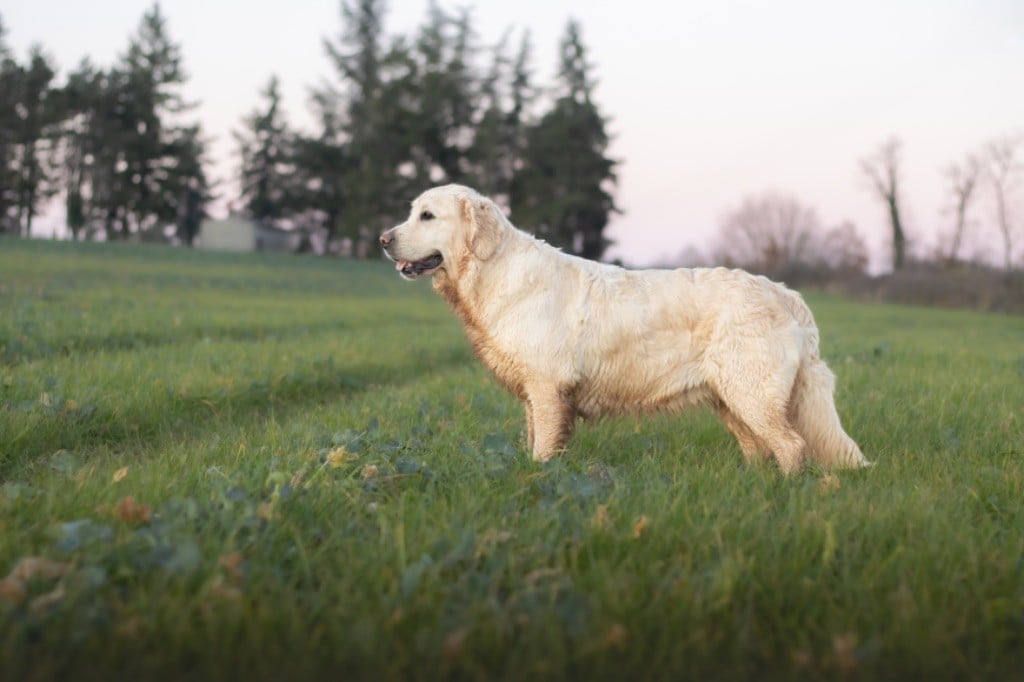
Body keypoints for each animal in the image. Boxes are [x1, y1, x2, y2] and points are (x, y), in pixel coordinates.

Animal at [380, 183, 868, 475]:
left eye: (427, 216)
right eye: (411, 213)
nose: (383, 239)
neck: (493, 270)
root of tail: (784, 292)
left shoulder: (548, 387)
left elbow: (543, 449)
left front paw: (539, 480)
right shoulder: (535, 394)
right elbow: (535, 440)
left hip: (752, 391)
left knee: (791, 446)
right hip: (733, 398)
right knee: (760, 448)